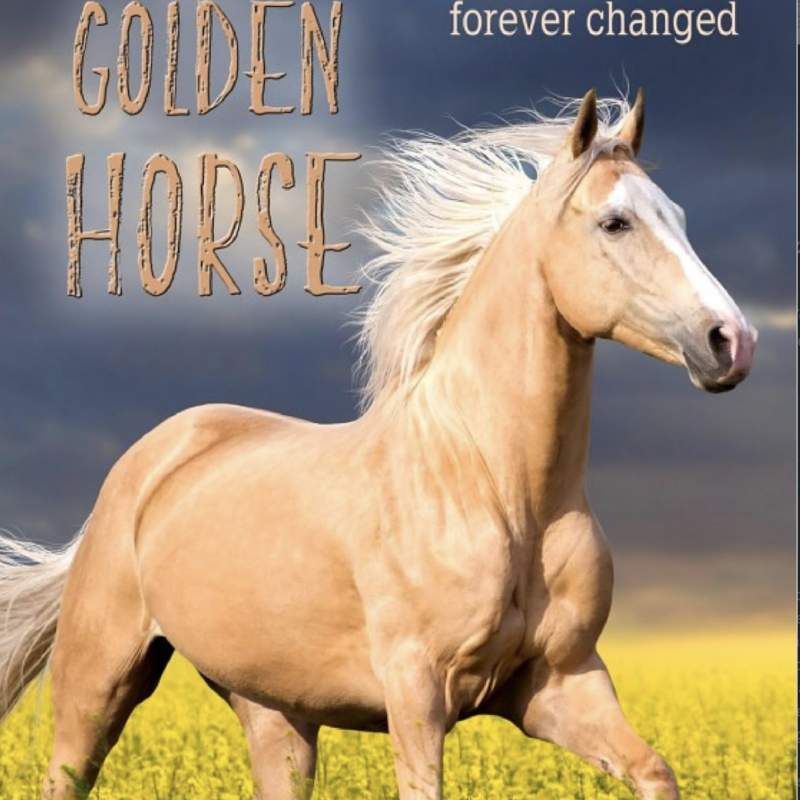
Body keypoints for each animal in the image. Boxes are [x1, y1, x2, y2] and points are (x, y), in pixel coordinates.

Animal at [0, 89, 756, 800]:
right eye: (614, 221)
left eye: (678, 216)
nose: (732, 341)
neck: (498, 488)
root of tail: (146, 462)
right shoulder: (417, 690)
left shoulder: (561, 683)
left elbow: (655, 772)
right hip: (98, 683)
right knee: (67, 771)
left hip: (276, 711)